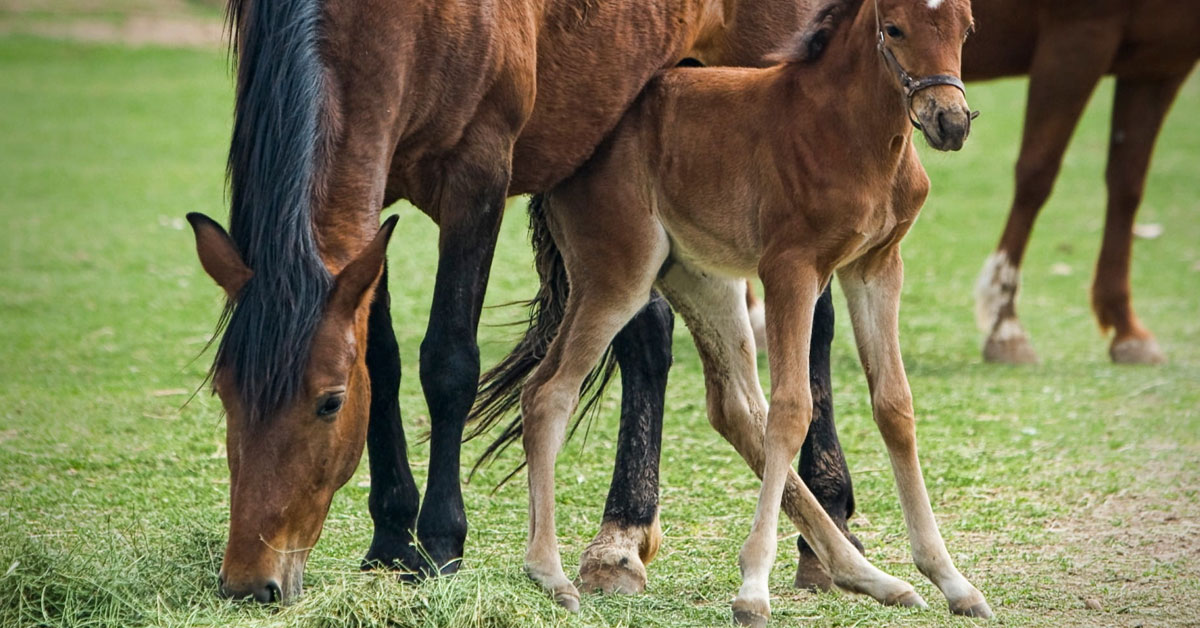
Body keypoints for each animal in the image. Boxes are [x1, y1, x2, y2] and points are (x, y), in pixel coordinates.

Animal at [183, 0, 865, 604]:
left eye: (328, 403)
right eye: (224, 394)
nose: (250, 581)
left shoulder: (477, 178)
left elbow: (448, 363)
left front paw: (440, 544)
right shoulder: (372, 209)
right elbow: (382, 360)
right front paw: (391, 538)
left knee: (815, 324)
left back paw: (825, 523)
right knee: (648, 334)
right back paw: (622, 538)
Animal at [511, 0, 990, 622]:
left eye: (966, 29)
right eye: (894, 29)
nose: (949, 122)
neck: (850, 131)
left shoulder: (877, 265)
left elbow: (894, 408)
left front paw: (952, 580)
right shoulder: (791, 269)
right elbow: (792, 411)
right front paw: (752, 591)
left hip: (700, 277)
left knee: (738, 408)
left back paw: (872, 578)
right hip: (617, 275)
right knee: (548, 393)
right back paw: (551, 573)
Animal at [968, 0, 1200, 364]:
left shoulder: (1156, 65)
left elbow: (1127, 185)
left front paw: (1127, 330)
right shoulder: (1079, 36)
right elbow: (1036, 175)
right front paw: (1005, 327)